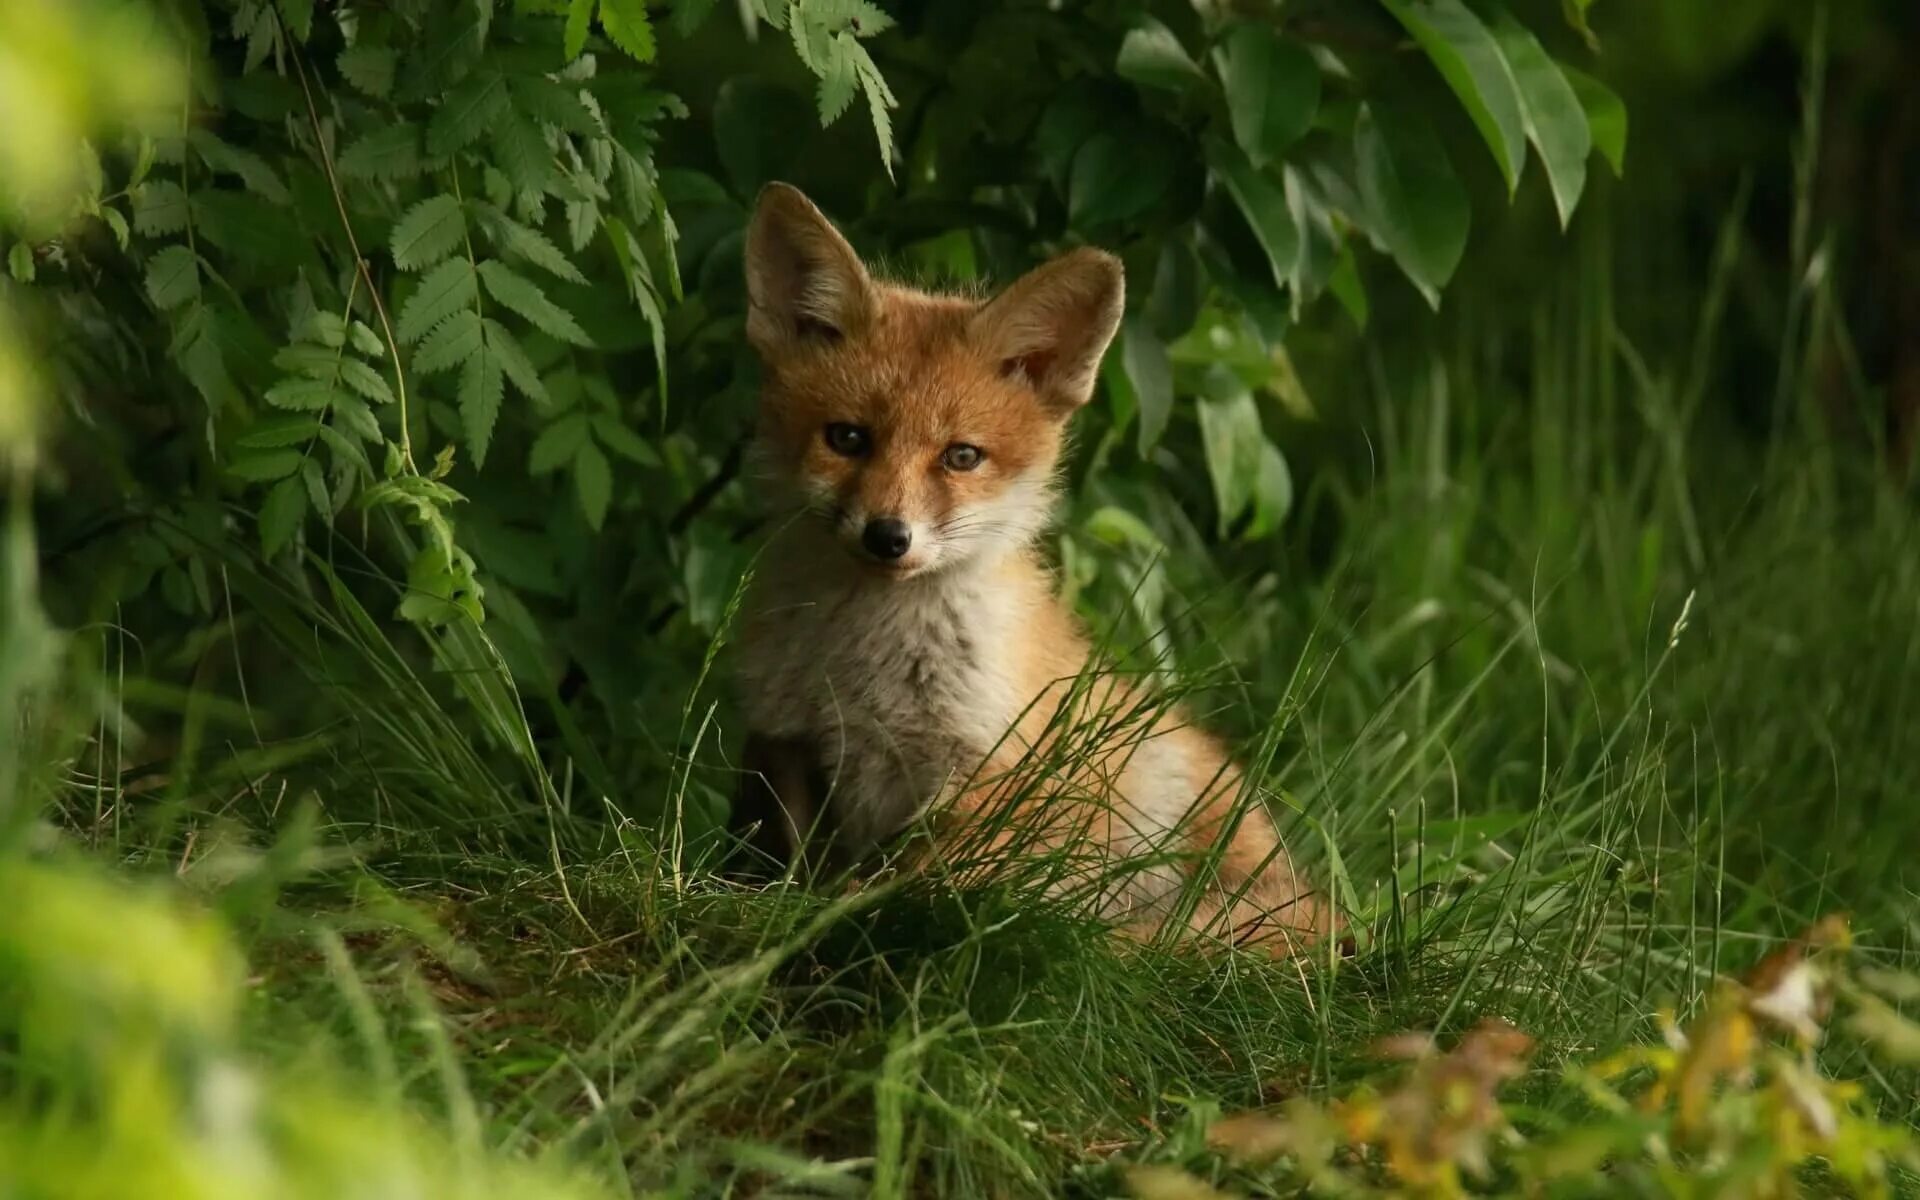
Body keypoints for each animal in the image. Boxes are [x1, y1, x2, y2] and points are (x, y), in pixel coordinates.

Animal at [725, 185, 1328, 956]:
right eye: (847, 438)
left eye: (961, 456)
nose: (889, 536)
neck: (866, 670)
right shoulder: (787, 739)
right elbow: (789, 864)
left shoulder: (989, 771)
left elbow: (910, 885)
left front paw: (847, 917)